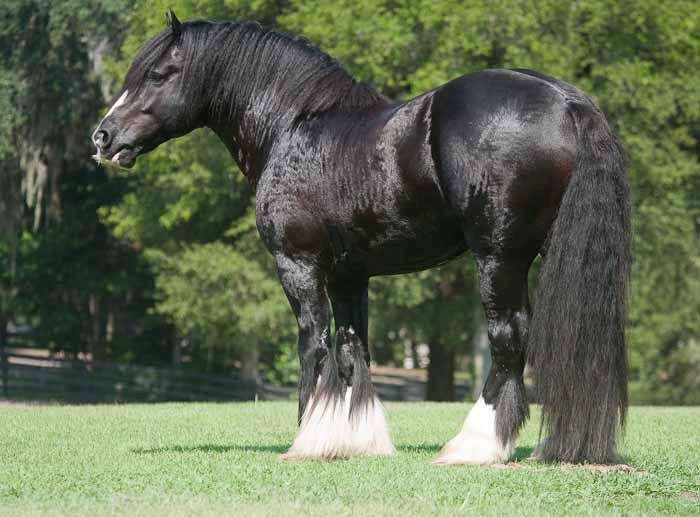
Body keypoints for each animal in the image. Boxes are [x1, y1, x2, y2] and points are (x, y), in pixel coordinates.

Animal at [90, 12, 632, 464]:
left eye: (158, 74)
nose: (103, 137)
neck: (294, 126)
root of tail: (566, 101)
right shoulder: (349, 275)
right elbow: (353, 349)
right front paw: (354, 441)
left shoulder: (300, 265)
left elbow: (314, 345)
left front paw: (306, 439)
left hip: (500, 257)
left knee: (508, 339)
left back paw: (473, 446)